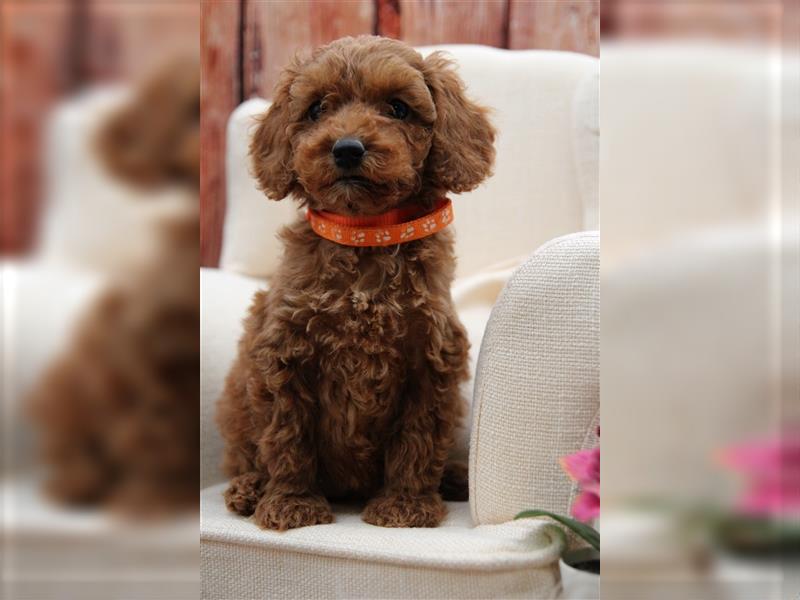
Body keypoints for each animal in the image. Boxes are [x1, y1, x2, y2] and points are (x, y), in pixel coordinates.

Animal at [217, 36, 494, 528]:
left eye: (399, 108)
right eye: (315, 109)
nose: (347, 148)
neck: (365, 233)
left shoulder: (430, 360)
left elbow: (418, 438)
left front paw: (405, 506)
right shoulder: (284, 355)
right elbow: (287, 435)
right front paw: (292, 504)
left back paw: (454, 477)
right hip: (236, 404)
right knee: (245, 454)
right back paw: (249, 489)